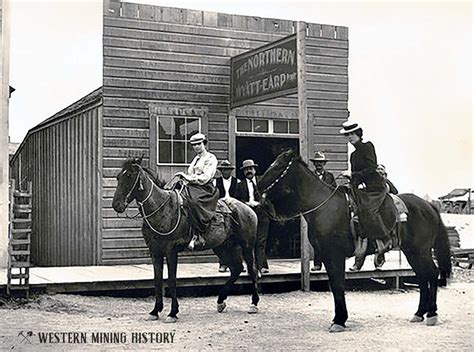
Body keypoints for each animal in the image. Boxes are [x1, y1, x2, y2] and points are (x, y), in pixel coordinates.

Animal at [112, 158, 260, 324]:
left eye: (130, 175)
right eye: (118, 177)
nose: (116, 205)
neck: (162, 209)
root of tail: (247, 208)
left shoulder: (171, 250)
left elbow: (172, 280)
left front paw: (172, 313)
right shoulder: (154, 251)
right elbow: (157, 280)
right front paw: (155, 311)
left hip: (246, 246)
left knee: (252, 271)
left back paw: (253, 304)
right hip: (224, 247)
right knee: (236, 269)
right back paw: (220, 301)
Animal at [260, 150, 452, 332]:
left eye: (277, 166)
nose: (258, 187)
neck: (325, 207)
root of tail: (429, 206)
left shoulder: (335, 255)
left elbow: (338, 286)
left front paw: (339, 321)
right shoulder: (328, 257)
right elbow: (334, 285)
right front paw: (338, 319)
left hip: (421, 251)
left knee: (432, 274)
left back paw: (432, 314)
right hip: (411, 251)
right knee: (422, 277)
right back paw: (419, 313)